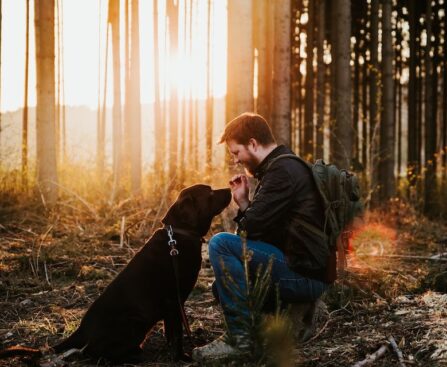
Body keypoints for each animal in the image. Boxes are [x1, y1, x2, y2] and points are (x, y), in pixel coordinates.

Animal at [2, 185, 234, 364]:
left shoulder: (173, 305)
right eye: (210, 192)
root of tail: (82, 330)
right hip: (134, 321)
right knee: (91, 353)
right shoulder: (173, 301)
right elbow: (176, 334)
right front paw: (181, 358)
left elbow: (171, 334)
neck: (179, 234)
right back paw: (135, 356)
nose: (230, 188)